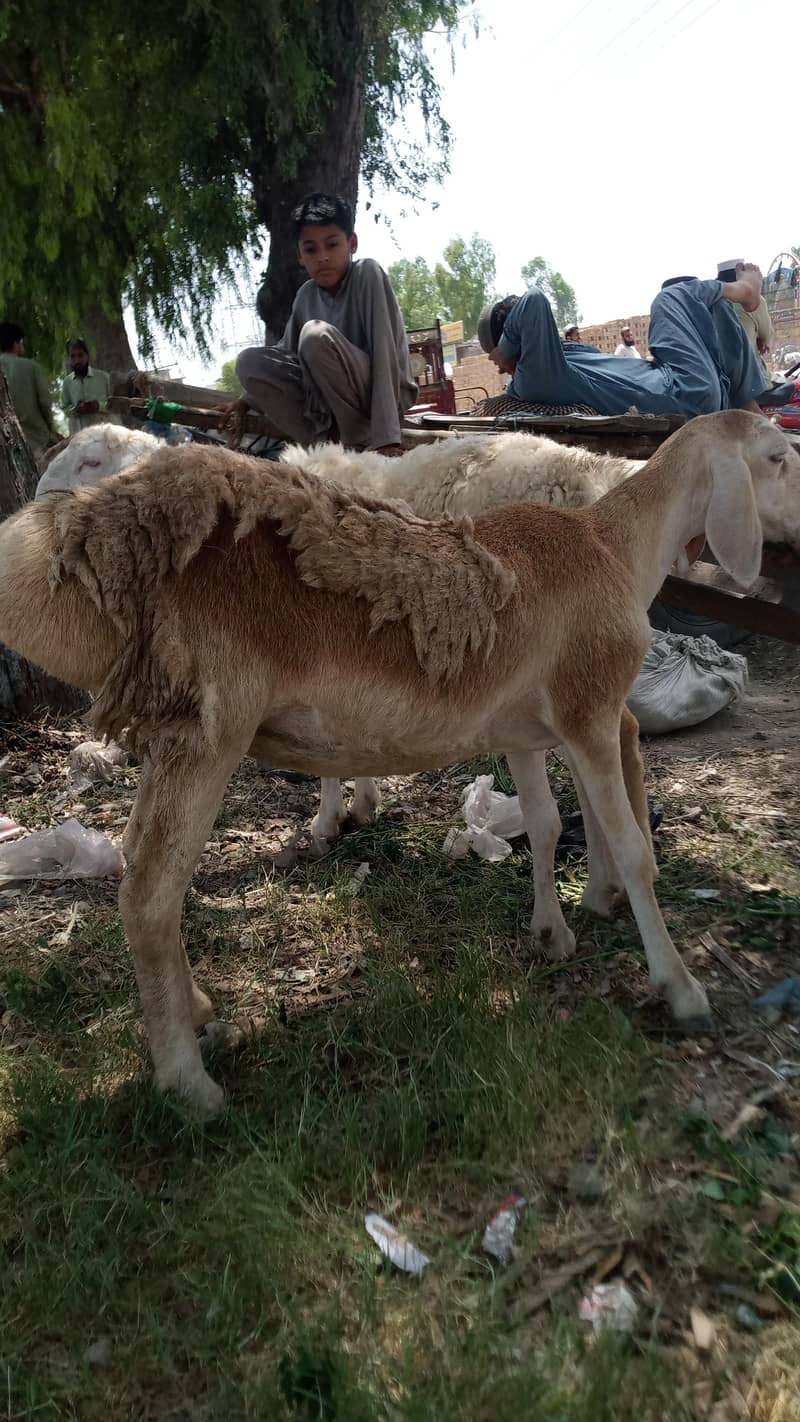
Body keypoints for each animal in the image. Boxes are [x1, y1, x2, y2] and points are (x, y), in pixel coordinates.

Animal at [0, 410, 789, 1114]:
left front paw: (554, 930)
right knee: (150, 893)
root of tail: (83, 536)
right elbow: (631, 848)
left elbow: (544, 822)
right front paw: (680, 988)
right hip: (205, 729)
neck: (612, 539)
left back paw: (194, 1011)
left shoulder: (536, 726)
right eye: (779, 456)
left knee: (140, 870)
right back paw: (189, 1082)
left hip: (180, 730)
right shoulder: (584, 709)